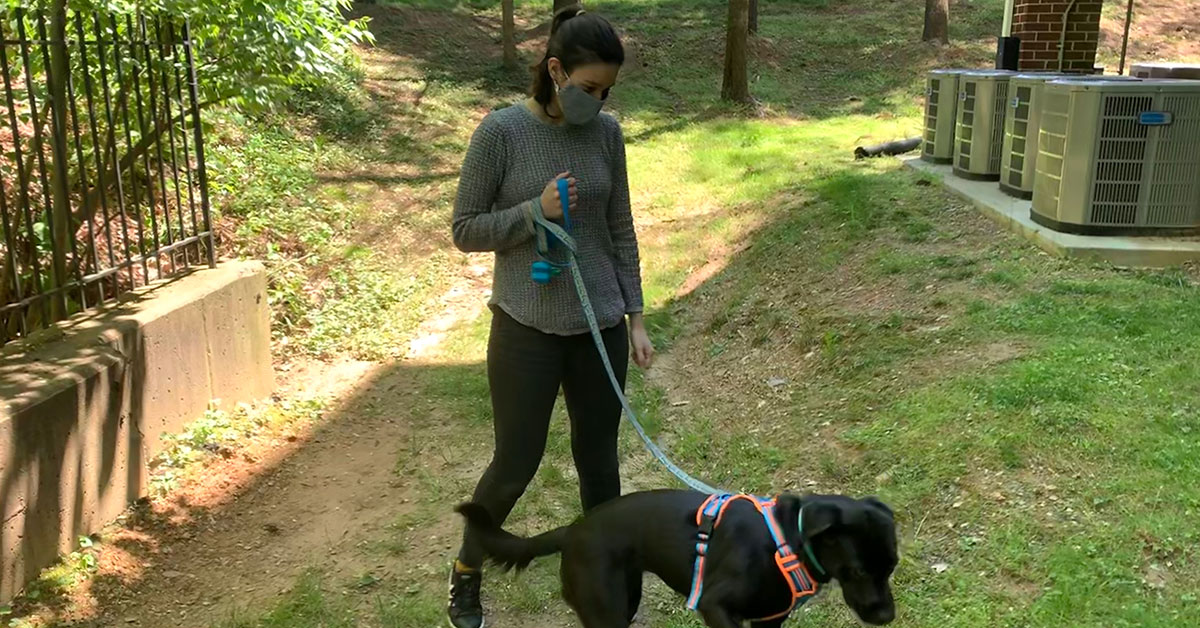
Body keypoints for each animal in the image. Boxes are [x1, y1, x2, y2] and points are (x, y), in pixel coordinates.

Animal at [453, 492, 897, 628]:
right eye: (859, 570)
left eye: (892, 567)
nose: (888, 616)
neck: (784, 542)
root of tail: (572, 530)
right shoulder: (715, 605)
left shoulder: (770, 620)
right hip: (606, 610)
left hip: (625, 599)